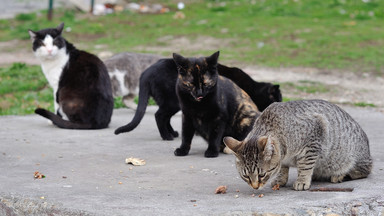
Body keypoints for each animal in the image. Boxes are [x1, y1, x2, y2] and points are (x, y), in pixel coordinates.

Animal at [113, 53, 280, 140]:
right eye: (277, 99)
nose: (279, 105)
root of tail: (147, 71)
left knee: (165, 117)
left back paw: (172, 133)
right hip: (172, 102)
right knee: (159, 115)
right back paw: (167, 136)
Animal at [224, 99, 374, 191]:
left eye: (262, 175)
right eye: (246, 176)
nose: (255, 187)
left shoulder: (314, 136)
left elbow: (305, 165)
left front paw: (302, 180)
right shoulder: (283, 158)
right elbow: (282, 168)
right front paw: (280, 178)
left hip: (353, 159)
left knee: (362, 171)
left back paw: (339, 175)